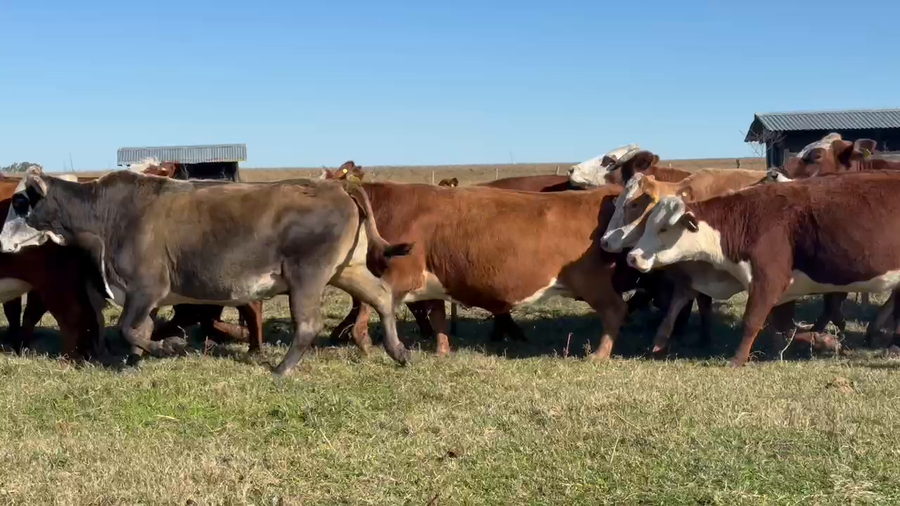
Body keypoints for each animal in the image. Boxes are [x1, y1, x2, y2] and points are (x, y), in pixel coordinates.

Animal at [0, 168, 413, 375]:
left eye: (20, 202)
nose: (2, 240)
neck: (107, 214)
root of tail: (339, 188)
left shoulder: (146, 288)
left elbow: (130, 328)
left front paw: (170, 346)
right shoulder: (144, 296)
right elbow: (139, 331)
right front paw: (134, 363)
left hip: (306, 277)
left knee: (309, 325)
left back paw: (281, 370)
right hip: (347, 269)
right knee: (381, 296)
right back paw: (397, 350)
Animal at [333, 181, 632, 359]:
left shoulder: (398, 275)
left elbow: (372, 305)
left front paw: (368, 344)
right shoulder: (433, 281)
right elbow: (438, 317)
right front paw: (443, 352)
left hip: (594, 284)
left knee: (615, 311)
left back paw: (599, 355)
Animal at [624, 172, 900, 366]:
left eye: (663, 228)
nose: (632, 257)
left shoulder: (769, 279)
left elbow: (753, 321)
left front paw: (737, 360)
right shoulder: (779, 289)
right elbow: (784, 329)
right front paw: (824, 340)